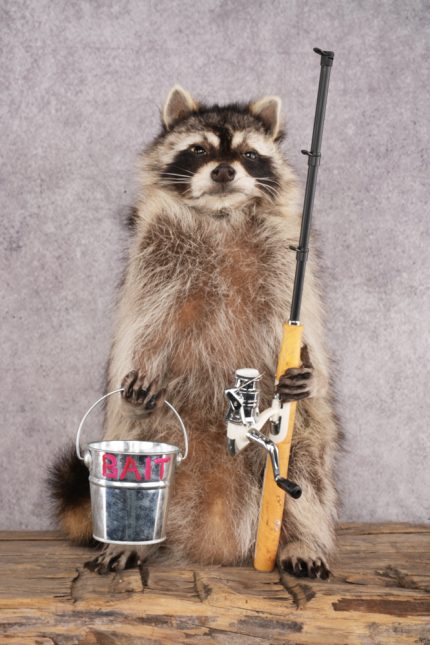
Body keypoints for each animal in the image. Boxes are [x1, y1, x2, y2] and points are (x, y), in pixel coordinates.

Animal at [49, 85, 341, 579]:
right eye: (199, 149)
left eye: (248, 153)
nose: (224, 170)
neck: (220, 216)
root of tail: (212, 538)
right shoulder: (154, 254)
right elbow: (142, 324)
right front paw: (138, 364)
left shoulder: (284, 264)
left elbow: (307, 333)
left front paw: (311, 369)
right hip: (156, 431)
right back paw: (138, 543)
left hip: (299, 442)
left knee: (306, 469)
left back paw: (300, 540)